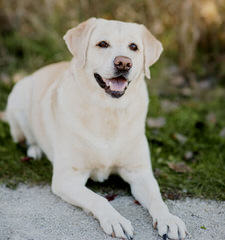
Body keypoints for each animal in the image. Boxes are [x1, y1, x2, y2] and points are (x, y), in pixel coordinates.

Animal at [3, 18, 186, 240]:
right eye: (103, 44)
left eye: (133, 47)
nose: (124, 62)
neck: (108, 111)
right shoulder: (67, 178)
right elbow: (99, 199)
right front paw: (115, 220)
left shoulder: (140, 173)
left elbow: (157, 199)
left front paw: (169, 220)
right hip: (19, 97)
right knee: (26, 138)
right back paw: (35, 150)